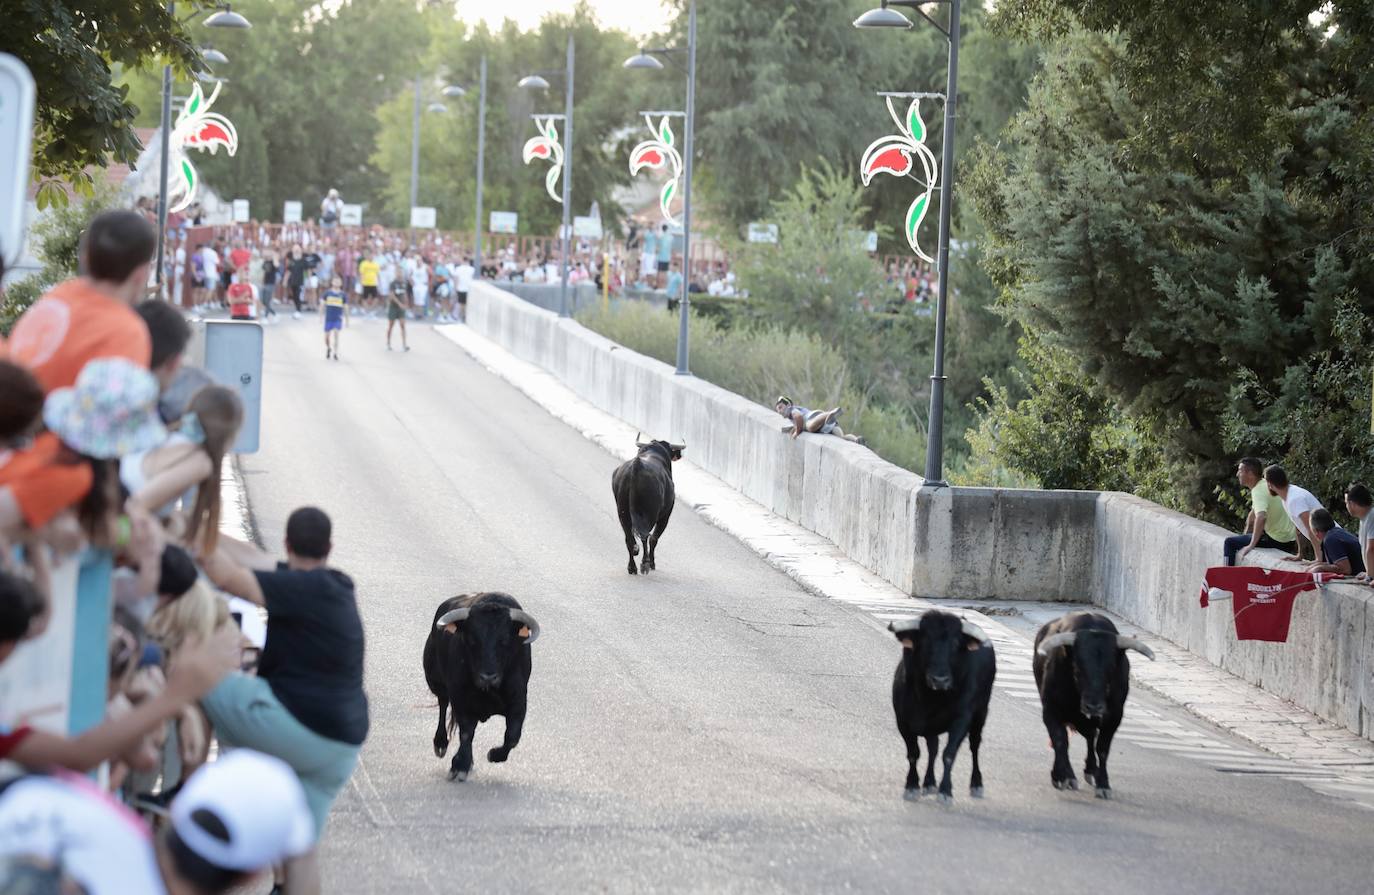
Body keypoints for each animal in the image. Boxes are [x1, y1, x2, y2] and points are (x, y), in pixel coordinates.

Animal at [420, 591, 538, 780]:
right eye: (472, 640)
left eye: (504, 641)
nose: (488, 676)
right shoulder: (461, 699)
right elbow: (466, 732)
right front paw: (460, 766)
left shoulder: (518, 701)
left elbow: (512, 736)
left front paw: (494, 755)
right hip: (436, 682)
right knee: (443, 704)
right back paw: (441, 744)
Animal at [610, 437, 684, 577]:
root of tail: (636, 466)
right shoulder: (665, 516)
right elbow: (654, 538)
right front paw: (652, 563)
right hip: (649, 514)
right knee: (645, 536)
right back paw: (645, 563)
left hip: (622, 512)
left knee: (629, 538)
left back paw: (632, 566)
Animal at [884, 613, 994, 802]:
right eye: (925, 641)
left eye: (956, 644)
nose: (940, 680)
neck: (931, 699)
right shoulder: (903, 721)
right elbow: (914, 753)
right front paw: (912, 786)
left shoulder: (961, 720)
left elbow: (949, 754)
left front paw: (945, 791)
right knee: (933, 748)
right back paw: (929, 783)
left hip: (981, 714)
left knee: (974, 745)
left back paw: (976, 784)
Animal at [1033, 613, 1154, 802]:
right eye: (1076, 669)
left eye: (1111, 670)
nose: (1093, 706)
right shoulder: (1050, 710)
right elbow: (1060, 740)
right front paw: (1061, 776)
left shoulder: (1114, 717)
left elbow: (1102, 748)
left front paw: (1103, 784)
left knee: (1091, 737)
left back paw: (1091, 771)